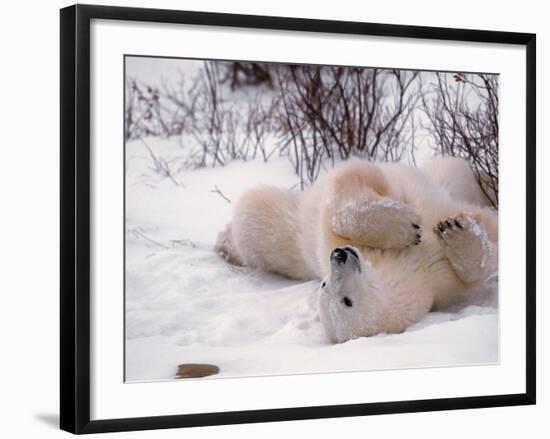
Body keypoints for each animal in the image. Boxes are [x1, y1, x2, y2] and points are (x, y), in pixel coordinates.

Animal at [216, 158, 500, 344]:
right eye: (345, 300)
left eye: (324, 285)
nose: (339, 254)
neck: (410, 268)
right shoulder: (432, 280)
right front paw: (445, 232)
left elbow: (347, 185)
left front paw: (442, 227)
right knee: (257, 216)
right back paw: (225, 243)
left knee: (452, 171)